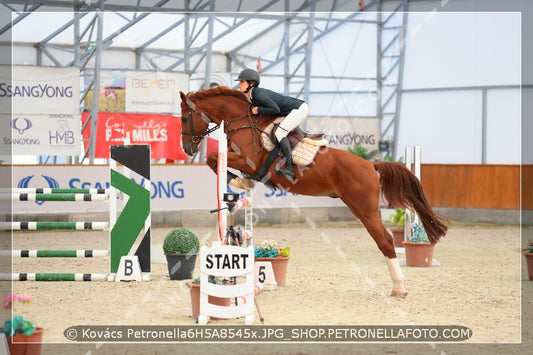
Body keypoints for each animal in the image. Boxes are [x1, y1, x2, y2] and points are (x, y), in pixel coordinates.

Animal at [178, 86, 444, 298]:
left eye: (183, 119)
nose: (187, 149)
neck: (243, 120)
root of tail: (371, 164)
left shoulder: (248, 160)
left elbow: (214, 158)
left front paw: (238, 182)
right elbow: (214, 160)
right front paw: (242, 182)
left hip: (364, 210)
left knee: (386, 241)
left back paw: (399, 288)